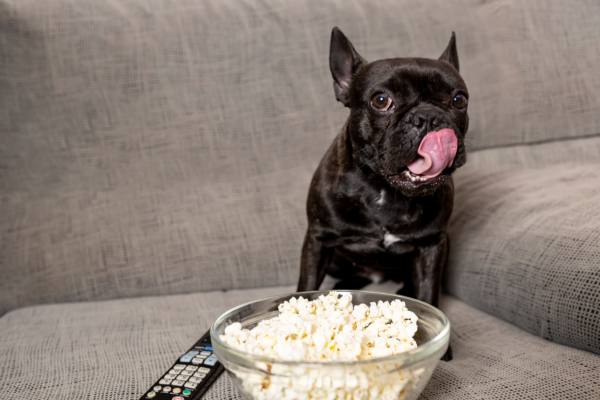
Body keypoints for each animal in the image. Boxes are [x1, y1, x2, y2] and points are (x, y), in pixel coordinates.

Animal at [296, 28, 468, 360]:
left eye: (459, 100)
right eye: (381, 100)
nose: (429, 117)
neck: (385, 188)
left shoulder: (432, 245)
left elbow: (430, 291)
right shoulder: (317, 240)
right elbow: (306, 283)